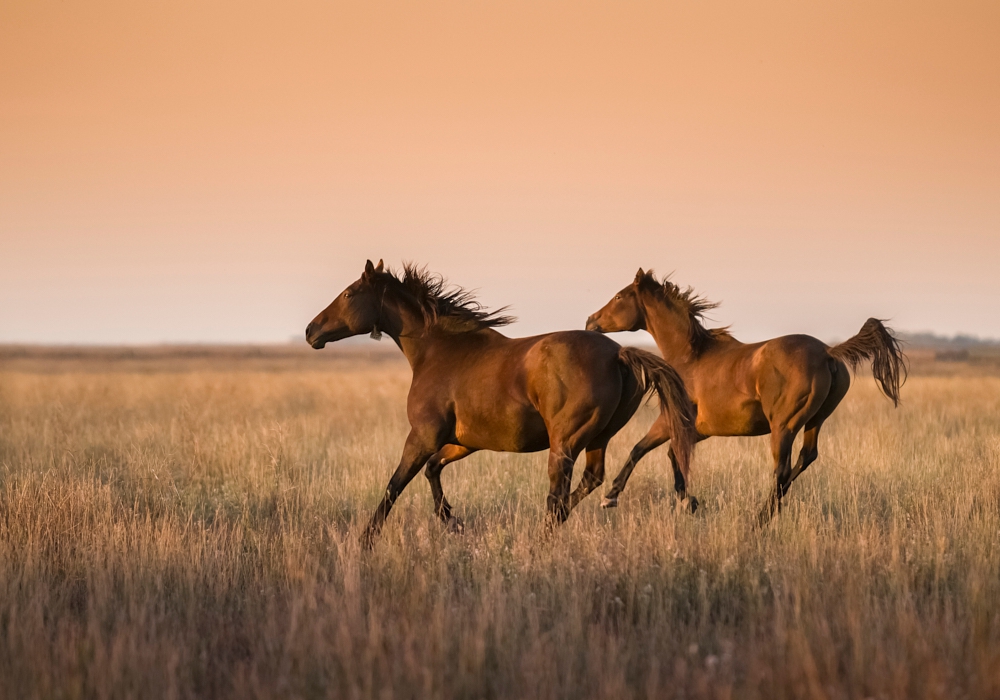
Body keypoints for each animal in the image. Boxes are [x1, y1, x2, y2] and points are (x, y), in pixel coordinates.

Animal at [304, 260, 696, 544]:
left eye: (349, 294)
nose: (310, 331)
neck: (440, 351)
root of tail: (618, 353)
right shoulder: (465, 442)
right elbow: (432, 470)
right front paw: (453, 523)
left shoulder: (422, 436)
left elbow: (394, 485)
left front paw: (366, 540)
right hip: (598, 437)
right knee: (589, 482)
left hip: (565, 442)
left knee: (557, 495)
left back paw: (542, 539)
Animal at [584, 268, 908, 524]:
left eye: (619, 297)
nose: (590, 321)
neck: (690, 357)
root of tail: (828, 352)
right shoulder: (699, 430)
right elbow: (674, 455)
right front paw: (688, 502)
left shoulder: (669, 421)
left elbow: (639, 449)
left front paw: (610, 496)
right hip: (815, 420)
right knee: (805, 458)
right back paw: (771, 509)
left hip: (784, 426)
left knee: (781, 470)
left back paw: (760, 519)